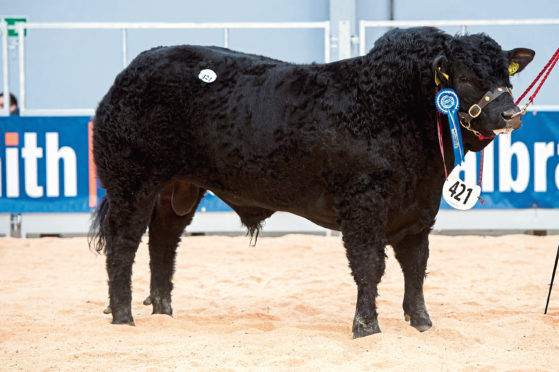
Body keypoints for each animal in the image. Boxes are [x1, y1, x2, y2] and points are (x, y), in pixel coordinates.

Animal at [89, 27, 536, 338]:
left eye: (506, 75)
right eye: (466, 78)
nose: (512, 114)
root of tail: (132, 71)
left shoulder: (419, 209)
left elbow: (416, 265)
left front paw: (422, 322)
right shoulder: (363, 204)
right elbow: (370, 265)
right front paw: (367, 327)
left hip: (177, 189)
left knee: (163, 243)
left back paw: (163, 312)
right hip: (131, 183)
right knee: (123, 246)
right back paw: (124, 318)